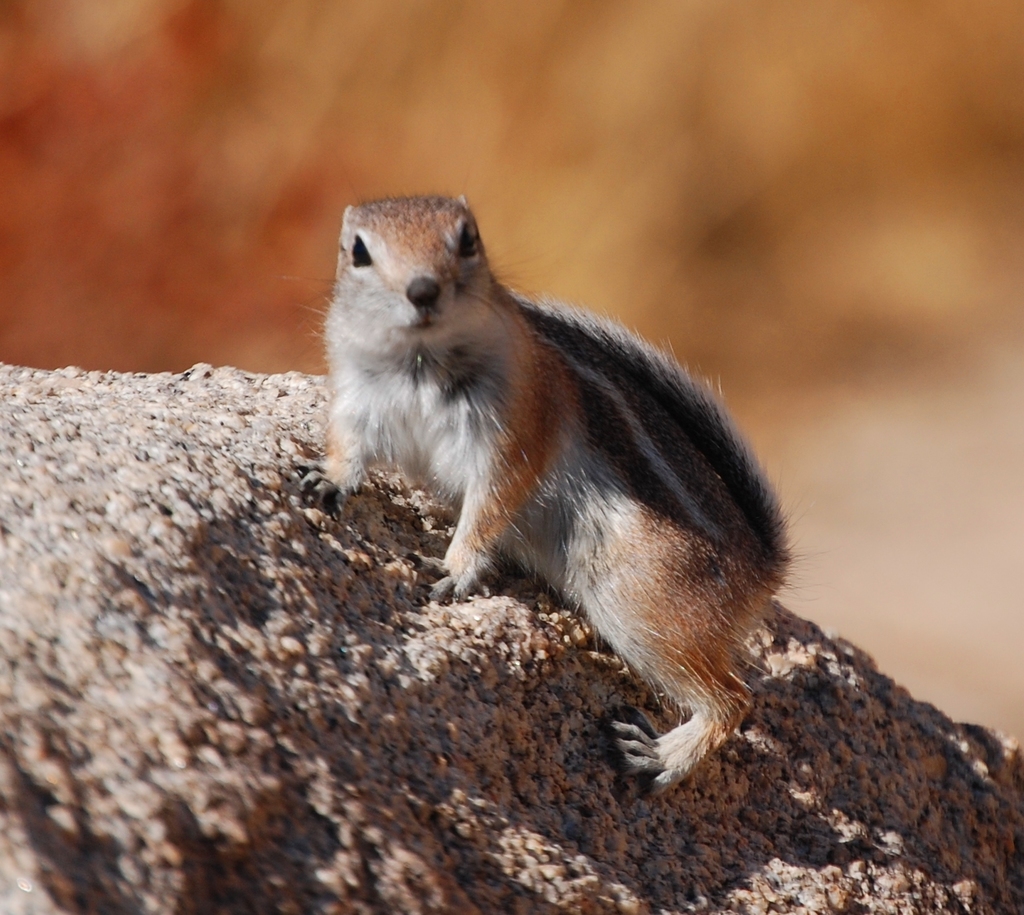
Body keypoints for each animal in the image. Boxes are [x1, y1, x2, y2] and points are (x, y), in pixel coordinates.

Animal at [315, 195, 786, 794]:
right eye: (358, 251)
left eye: (468, 240)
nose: (422, 290)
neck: (419, 361)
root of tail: (762, 570)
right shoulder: (359, 398)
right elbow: (349, 447)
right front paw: (329, 479)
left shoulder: (515, 435)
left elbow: (490, 506)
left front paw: (457, 568)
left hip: (642, 604)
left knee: (734, 700)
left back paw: (662, 756)